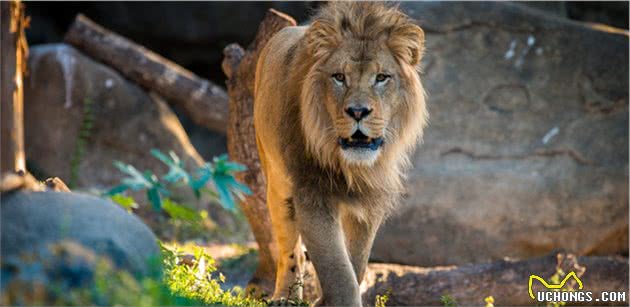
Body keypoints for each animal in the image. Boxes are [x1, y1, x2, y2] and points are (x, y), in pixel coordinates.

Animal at [256, 2, 430, 306]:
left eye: (381, 78)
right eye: (339, 77)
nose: (358, 111)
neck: (351, 165)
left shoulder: (369, 201)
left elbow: (355, 265)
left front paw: (325, 300)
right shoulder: (312, 194)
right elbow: (338, 272)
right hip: (276, 181)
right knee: (289, 249)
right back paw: (285, 297)